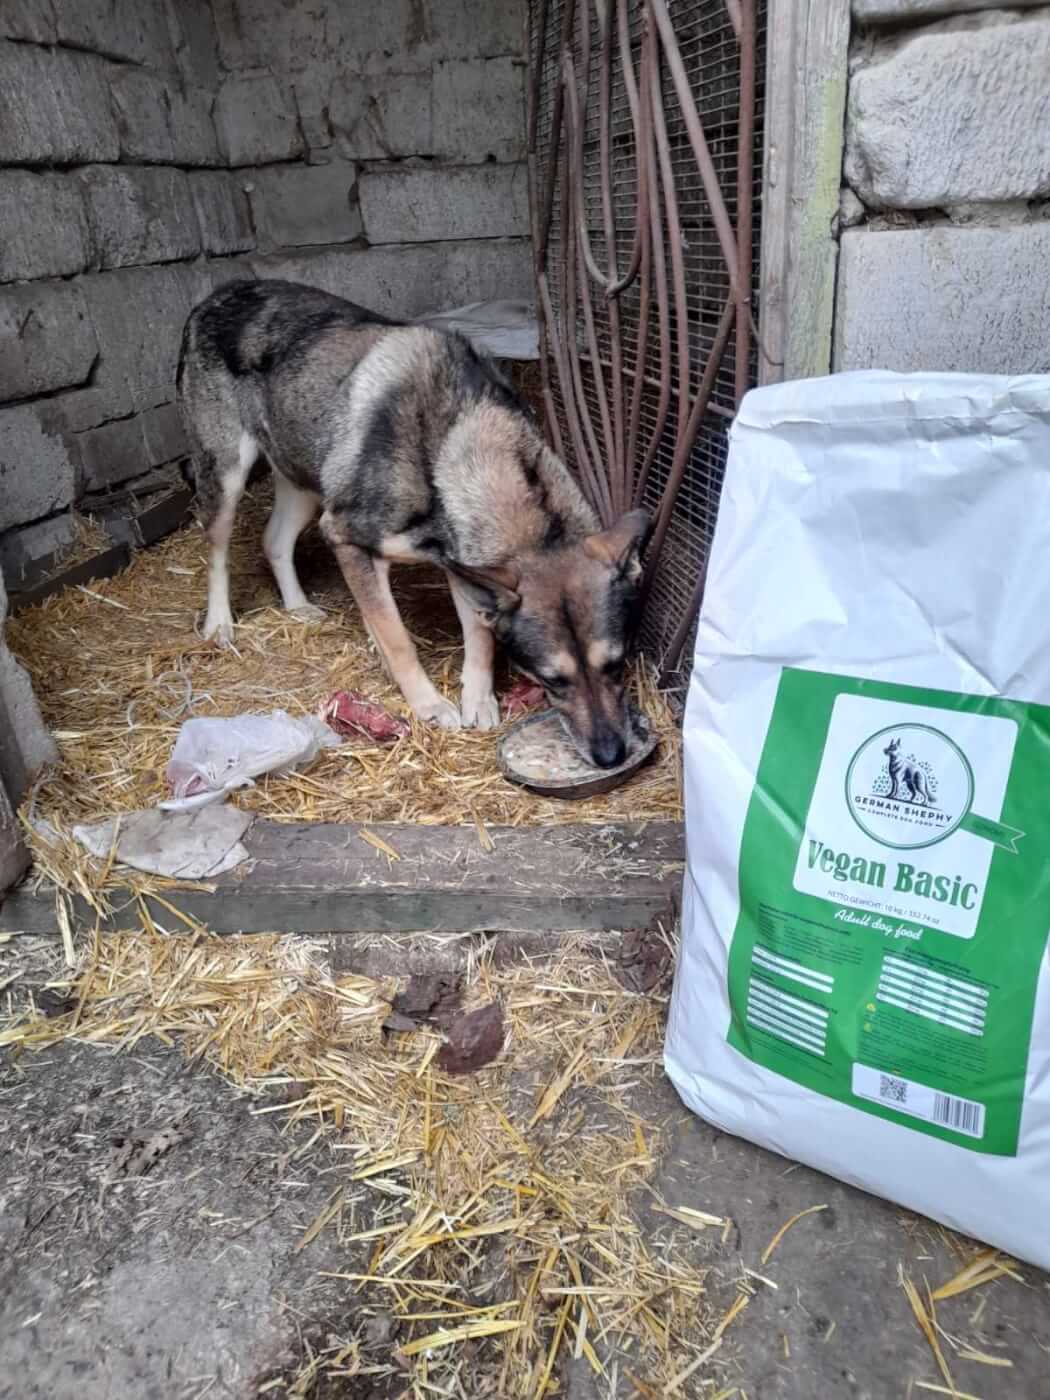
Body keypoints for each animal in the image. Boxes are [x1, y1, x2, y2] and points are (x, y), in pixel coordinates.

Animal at [177, 280, 655, 772]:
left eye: (616, 665)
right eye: (552, 680)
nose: (611, 756)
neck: (449, 442)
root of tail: (221, 291)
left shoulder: (460, 563)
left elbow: (478, 636)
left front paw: (479, 700)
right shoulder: (347, 538)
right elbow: (398, 639)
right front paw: (428, 704)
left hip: (306, 483)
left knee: (274, 540)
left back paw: (298, 607)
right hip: (228, 478)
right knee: (217, 551)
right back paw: (219, 624)